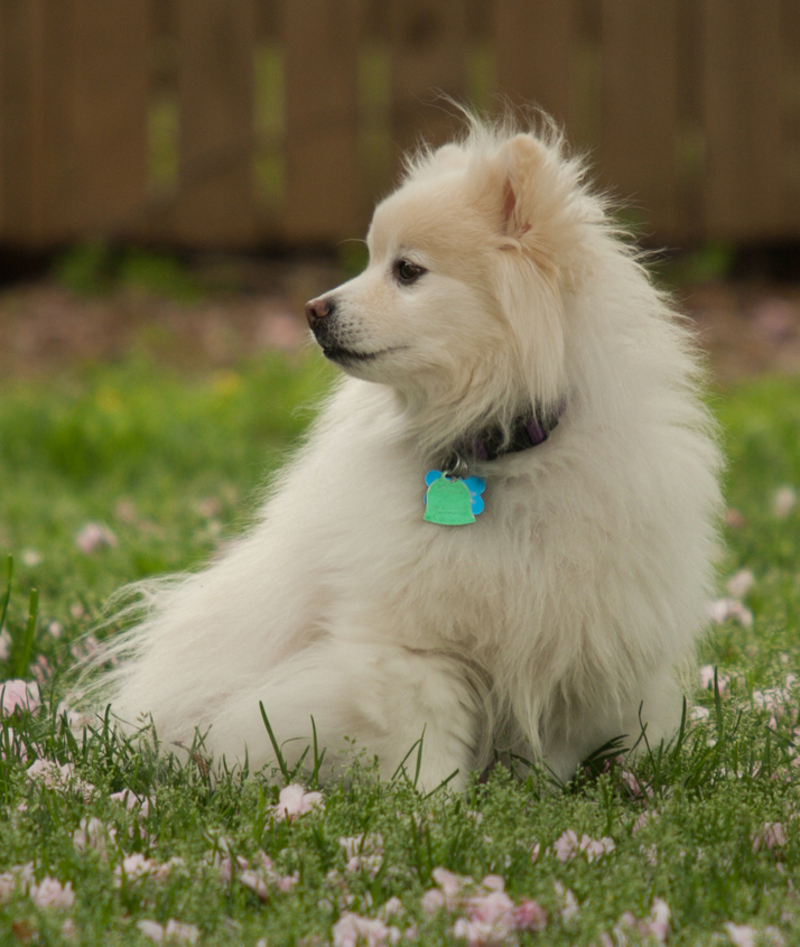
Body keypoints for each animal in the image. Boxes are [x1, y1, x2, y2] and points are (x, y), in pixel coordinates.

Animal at [97, 113, 720, 792]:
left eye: (407, 271)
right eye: (372, 261)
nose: (313, 309)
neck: (493, 453)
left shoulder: (570, 637)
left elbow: (547, 747)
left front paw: (534, 798)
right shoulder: (410, 645)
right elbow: (428, 741)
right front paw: (434, 804)